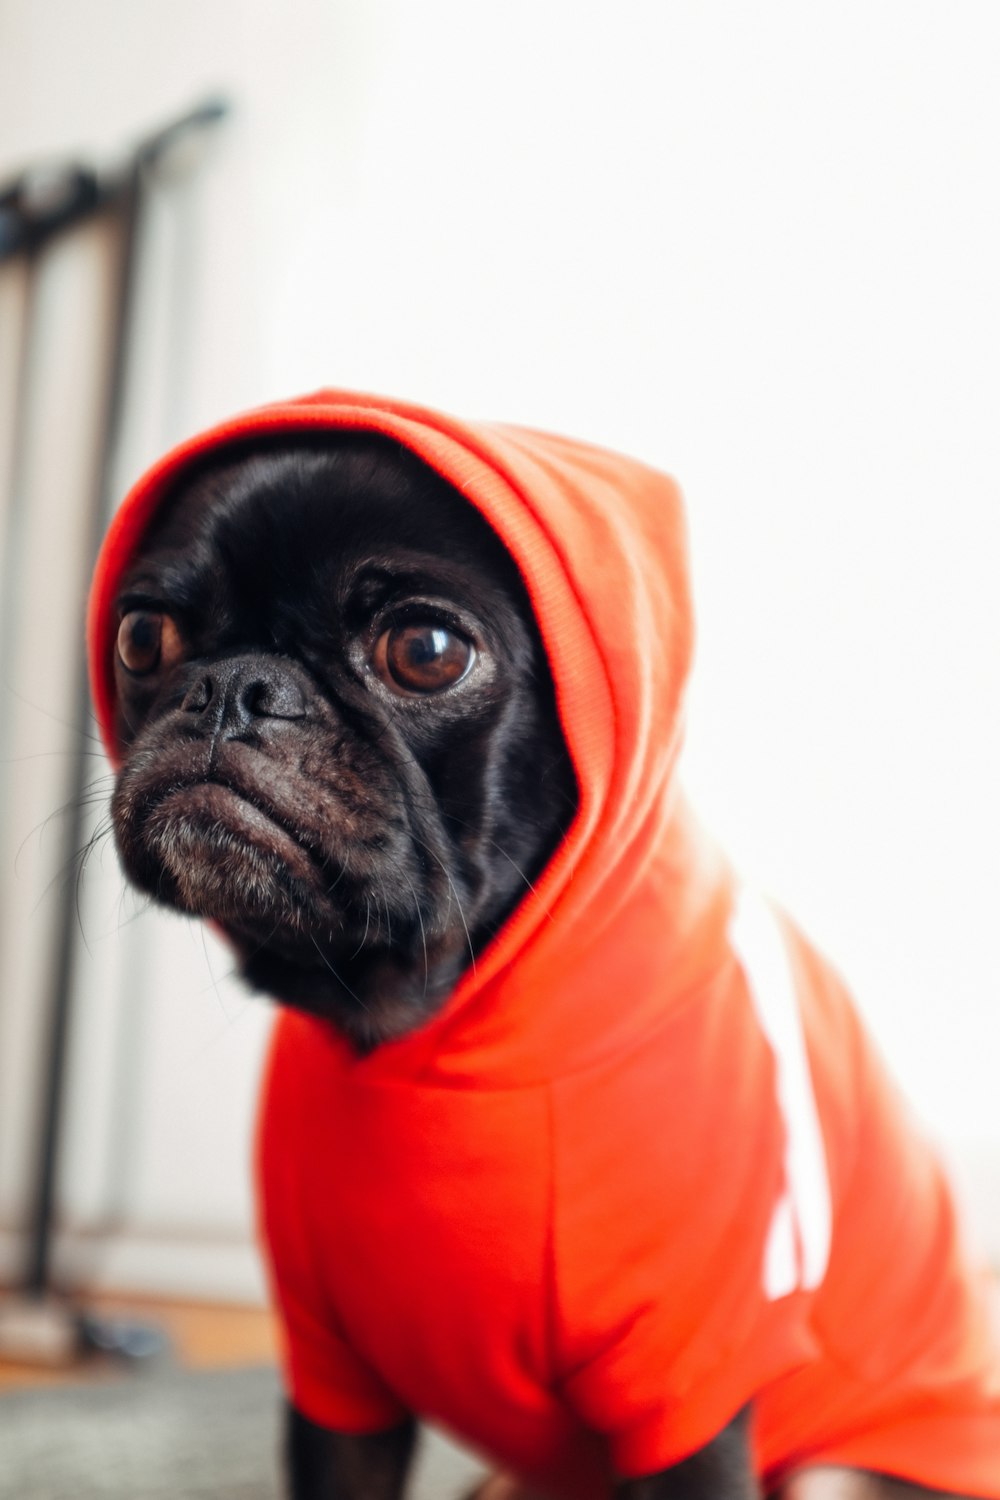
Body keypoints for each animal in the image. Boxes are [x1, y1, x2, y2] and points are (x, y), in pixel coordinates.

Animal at [97, 417, 995, 1500]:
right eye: (142, 639)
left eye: (426, 650)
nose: (232, 686)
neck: (414, 1024)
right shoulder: (333, 1381)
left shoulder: (690, 1399)